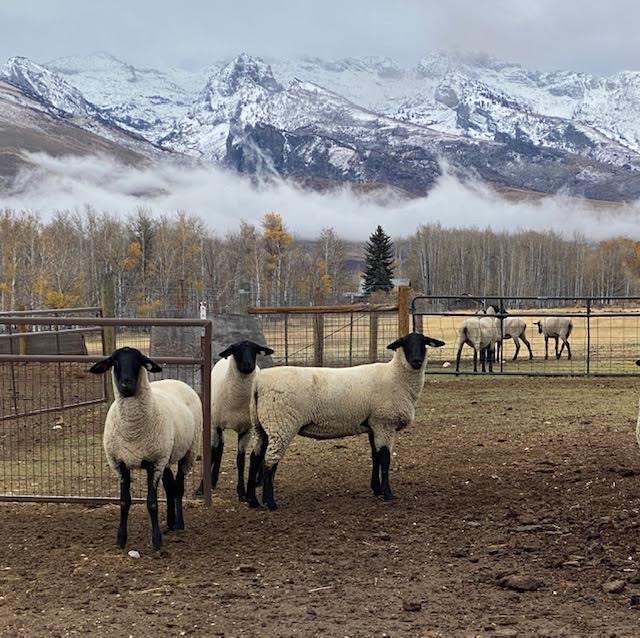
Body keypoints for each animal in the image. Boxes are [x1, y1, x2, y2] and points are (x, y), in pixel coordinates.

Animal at [89, 347, 202, 552]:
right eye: (114, 362)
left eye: (139, 361)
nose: (126, 384)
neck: (133, 431)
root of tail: (176, 380)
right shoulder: (120, 464)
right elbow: (124, 502)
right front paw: (121, 539)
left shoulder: (154, 463)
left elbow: (152, 503)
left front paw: (156, 541)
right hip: (166, 454)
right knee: (170, 486)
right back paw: (170, 523)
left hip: (188, 451)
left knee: (179, 487)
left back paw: (179, 524)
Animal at [195, 340, 274, 501]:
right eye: (235, 350)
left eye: (255, 350)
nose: (248, 365)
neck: (237, 402)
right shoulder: (215, 426)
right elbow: (212, 454)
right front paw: (200, 489)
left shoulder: (246, 430)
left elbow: (240, 460)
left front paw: (242, 491)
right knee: (219, 448)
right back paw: (213, 480)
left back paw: (258, 480)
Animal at [245, 332, 445, 511]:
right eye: (404, 343)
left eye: (424, 342)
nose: (416, 361)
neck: (395, 376)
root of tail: (258, 384)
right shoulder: (384, 423)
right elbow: (385, 459)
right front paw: (388, 493)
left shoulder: (374, 425)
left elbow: (375, 457)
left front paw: (377, 489)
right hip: (281, 424)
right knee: (269, 462)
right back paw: (270, 503)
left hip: (262, 425)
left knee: (255, 458)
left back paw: (252, 500)